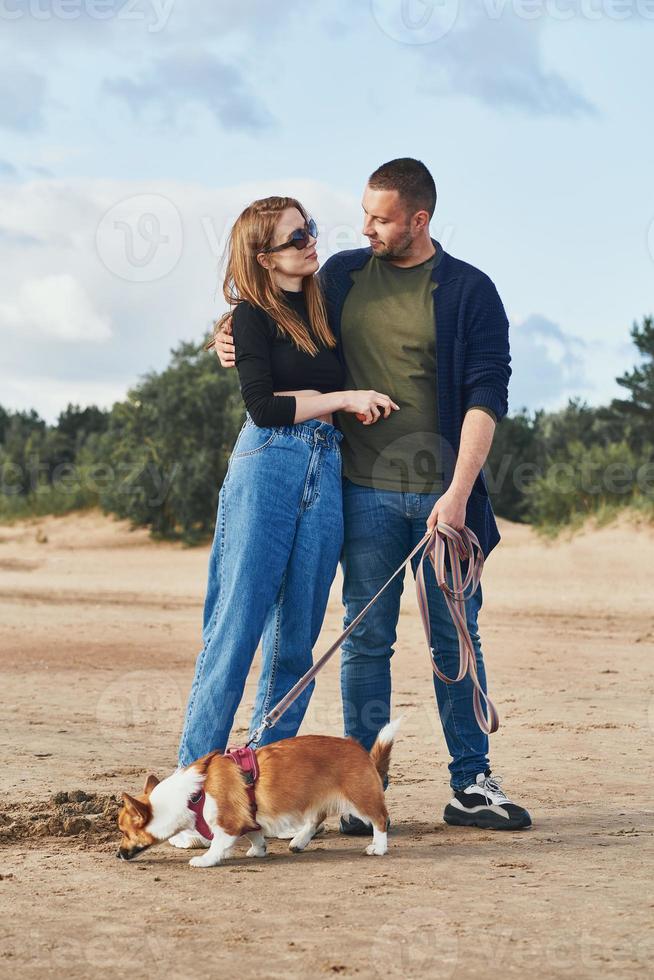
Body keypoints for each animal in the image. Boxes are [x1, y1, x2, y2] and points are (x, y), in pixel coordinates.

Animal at [118, 716, 402, 868]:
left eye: (125, 832)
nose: (117, 854)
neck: (192, 796)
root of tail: (364, 754)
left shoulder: (227, 822)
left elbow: (219, 844)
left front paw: (206, 859)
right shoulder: (249, 818)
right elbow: (255, 835)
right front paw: (258, 850)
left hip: (360, 800)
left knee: (380, 820)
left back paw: (378, 847)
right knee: (315, 819)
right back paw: (298, 841)